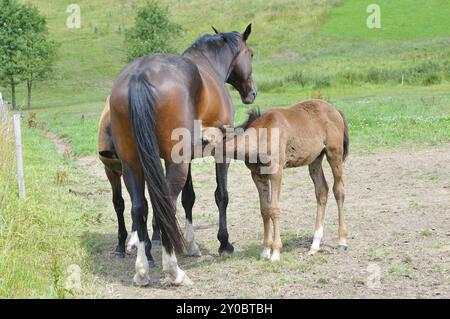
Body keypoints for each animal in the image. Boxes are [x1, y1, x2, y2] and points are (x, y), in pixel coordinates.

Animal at [105, 23, 255, 286]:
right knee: (166, 203)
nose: (252, 93)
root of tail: (140, 75)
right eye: (252, 54)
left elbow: (189, 197)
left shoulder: (183, 158)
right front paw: (224, 243)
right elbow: (221, 195)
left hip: (132, 164)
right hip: (174, 164)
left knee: (139, 207)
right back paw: (173, 270)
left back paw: (142, 270)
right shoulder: (219, 151)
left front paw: (191, 244)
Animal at [202, 100, 350, 262]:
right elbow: (264, 210)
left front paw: (276, 252)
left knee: (339, 190)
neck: (260, 135)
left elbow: (274, 209)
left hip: (334, 153)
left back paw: (342, 242)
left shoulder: (276, 172)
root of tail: (335, 110)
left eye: (204, 141)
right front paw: (266, 250)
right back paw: (314, 246)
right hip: (315, 159)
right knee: (322, 191)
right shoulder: (257, 175)